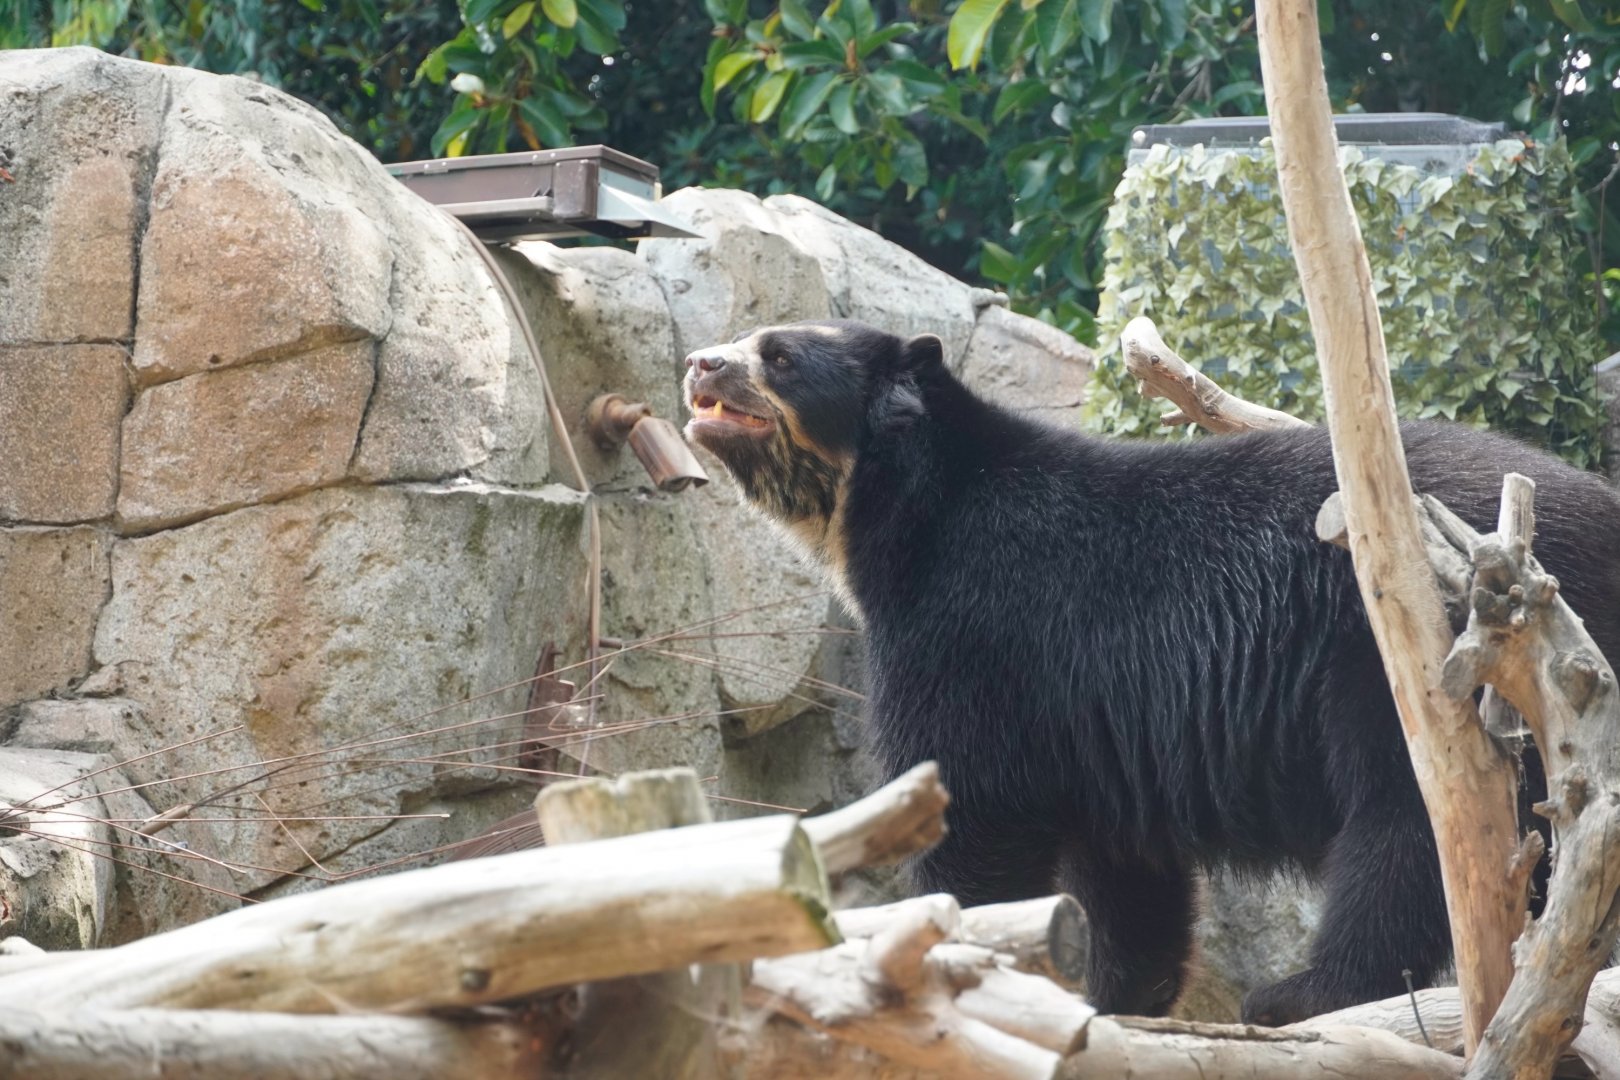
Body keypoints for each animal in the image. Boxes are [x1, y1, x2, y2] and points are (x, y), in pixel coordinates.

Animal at [680, 318, 1620, 1025]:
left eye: (780, 355)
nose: (699, 361)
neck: (898, 512)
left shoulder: (975, 631)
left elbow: (972, 811)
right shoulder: (1100, 718)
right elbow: (1125, 871)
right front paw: (1113, 997)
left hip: (1420, 647)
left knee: (1411, 822)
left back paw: (1300, 993)